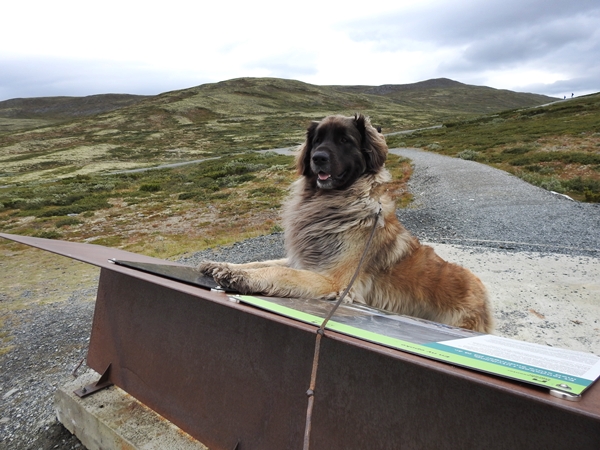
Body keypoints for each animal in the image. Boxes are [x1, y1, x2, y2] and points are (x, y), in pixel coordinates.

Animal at [199, 114, 494, 332]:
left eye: (344, 140)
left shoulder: (333, 280)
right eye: (317, 140)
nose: (317, 158)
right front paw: (223, 265)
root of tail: (483, 293)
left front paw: (239, 277)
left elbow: (280, 273)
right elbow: (263, 262)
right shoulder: (305, 259)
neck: (336, 202)